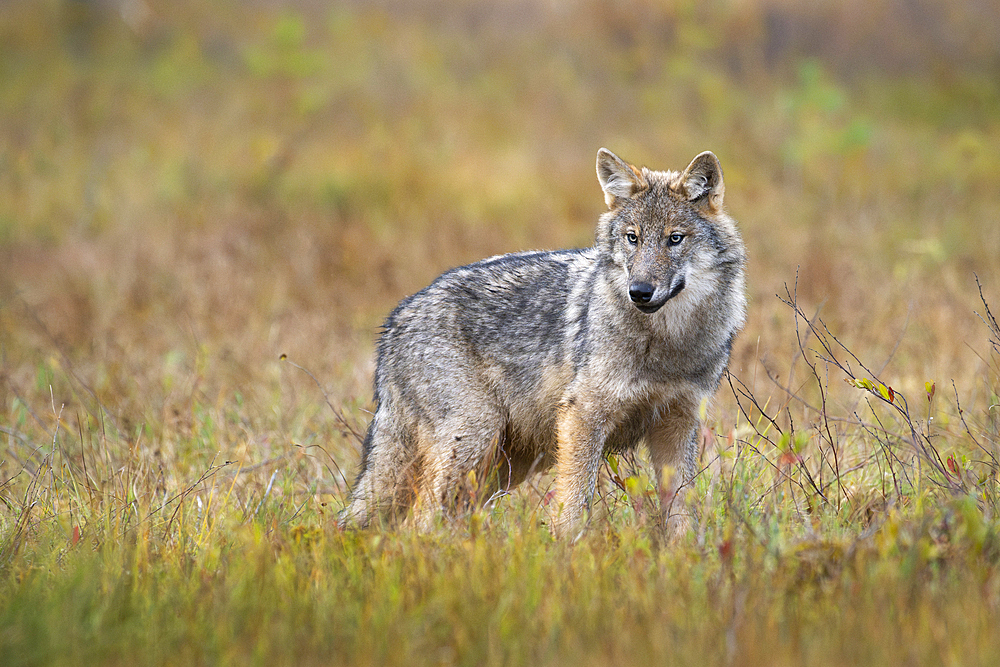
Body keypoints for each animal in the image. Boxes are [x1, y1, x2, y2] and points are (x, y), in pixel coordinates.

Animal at [342, 147, 744, 536]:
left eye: (675, 238)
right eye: (633, 238)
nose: (640, 292)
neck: (668, 342)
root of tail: (395, 320)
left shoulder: (677, 425)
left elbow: (682, 517)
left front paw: (685, 554)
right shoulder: (582, 416)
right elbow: (574, 506)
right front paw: (567, 551)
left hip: (503, 465)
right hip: (474, 439)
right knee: (416, 523)